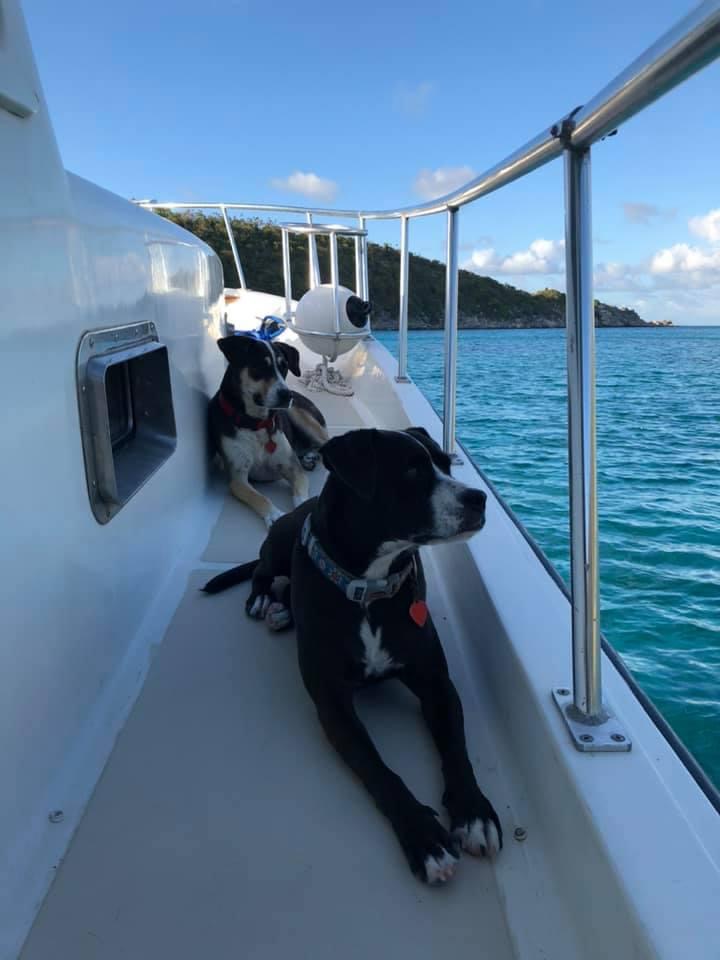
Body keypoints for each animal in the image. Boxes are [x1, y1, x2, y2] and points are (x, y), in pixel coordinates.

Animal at [203, 427, 502, 884]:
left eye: (445, 463)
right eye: (411, 471)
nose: (478, 498)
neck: (369, 588)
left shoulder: (437, 685)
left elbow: (456, 747)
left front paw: (473, 812)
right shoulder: (334, 706)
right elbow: (379, 770)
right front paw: (424, 836)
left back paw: (283, 609)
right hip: (278, 540)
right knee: (262, 571)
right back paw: (265, 601)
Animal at [209, 335, 329, 527]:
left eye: (284, 366)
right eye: (259, 366)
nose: (287, 395)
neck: (256, 423)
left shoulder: (293, 468)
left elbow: (300, 496)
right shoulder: (238, 478)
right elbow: (259, 498)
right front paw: (274, 515)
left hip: (299, 416)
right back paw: (309, 456)